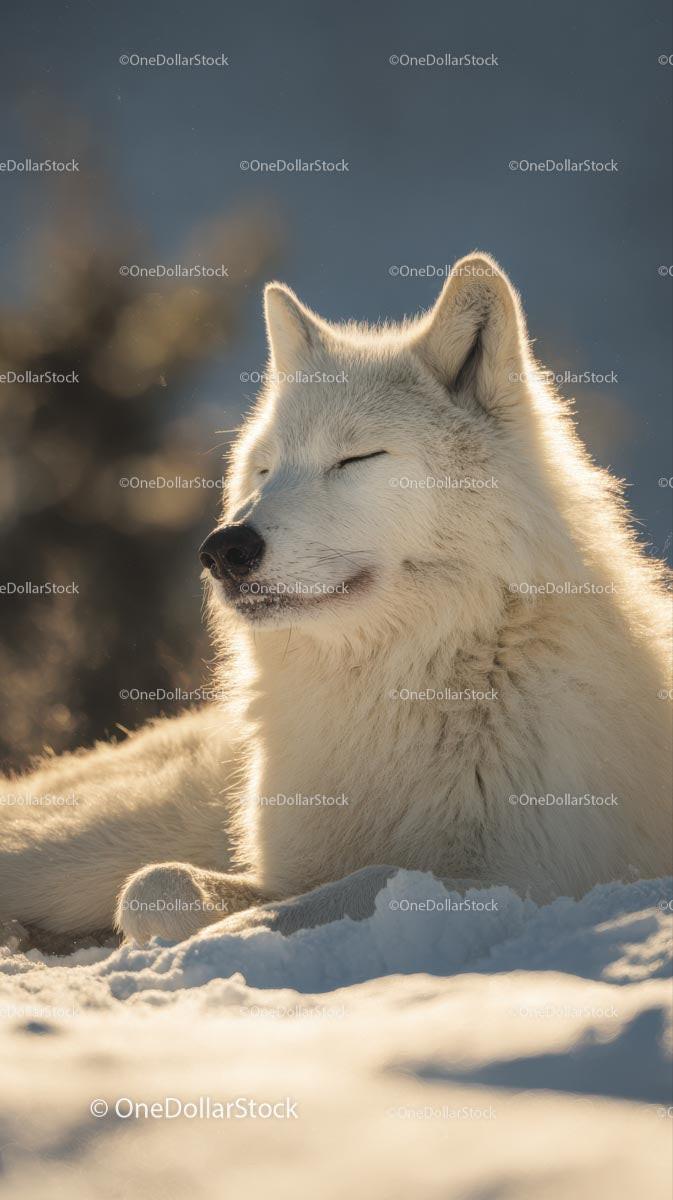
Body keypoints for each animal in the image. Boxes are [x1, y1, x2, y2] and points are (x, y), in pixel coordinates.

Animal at [0, 253, 671, 947]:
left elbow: (362, 882)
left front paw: (234, 936)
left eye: (356, 458)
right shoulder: (286, 866)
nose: (224, 549)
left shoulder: (531, 877)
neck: (404, 683)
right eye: (265, 469)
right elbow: (157, 886)